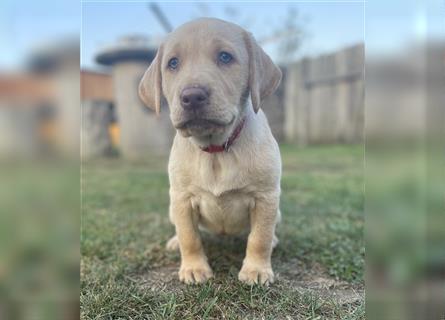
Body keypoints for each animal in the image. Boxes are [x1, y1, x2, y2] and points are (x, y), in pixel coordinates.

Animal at [139, 17, 280, 284]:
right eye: (173, 63)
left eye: (225, 57)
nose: (192, 96)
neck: (216, 150)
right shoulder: (181, 199)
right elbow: (189, 237)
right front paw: (194, 268)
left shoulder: (266, 197)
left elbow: (259, 238)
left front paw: (256, 270)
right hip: (171, 207)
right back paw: (174, 242)